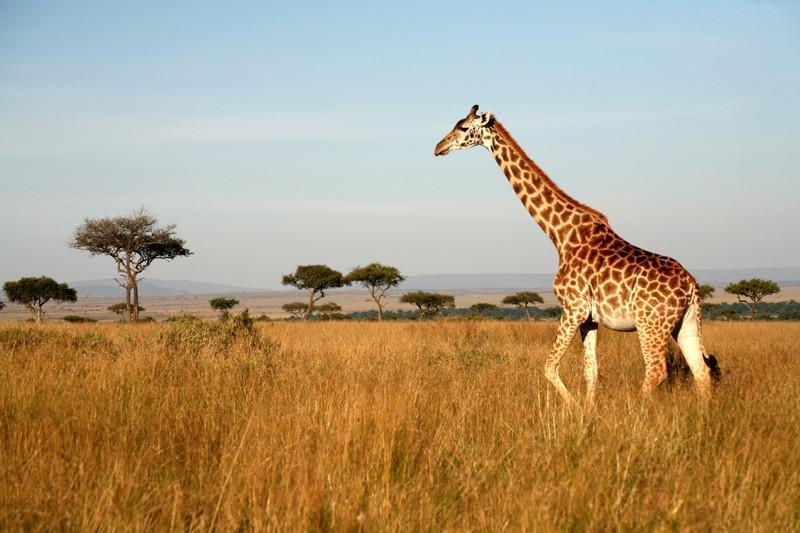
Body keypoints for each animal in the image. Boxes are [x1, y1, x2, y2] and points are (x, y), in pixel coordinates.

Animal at [434, 105, 720, 405]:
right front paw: (589, 409)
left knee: (656, 370)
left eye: (464, 127)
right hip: (685, 322)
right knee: (700, 370)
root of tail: (691, 286)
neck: (561, 235)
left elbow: (549, 366)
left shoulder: (573, 308)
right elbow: (590, 371)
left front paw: (573, 406)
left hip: (650, 324)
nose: (438, 147)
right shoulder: (590, 319)